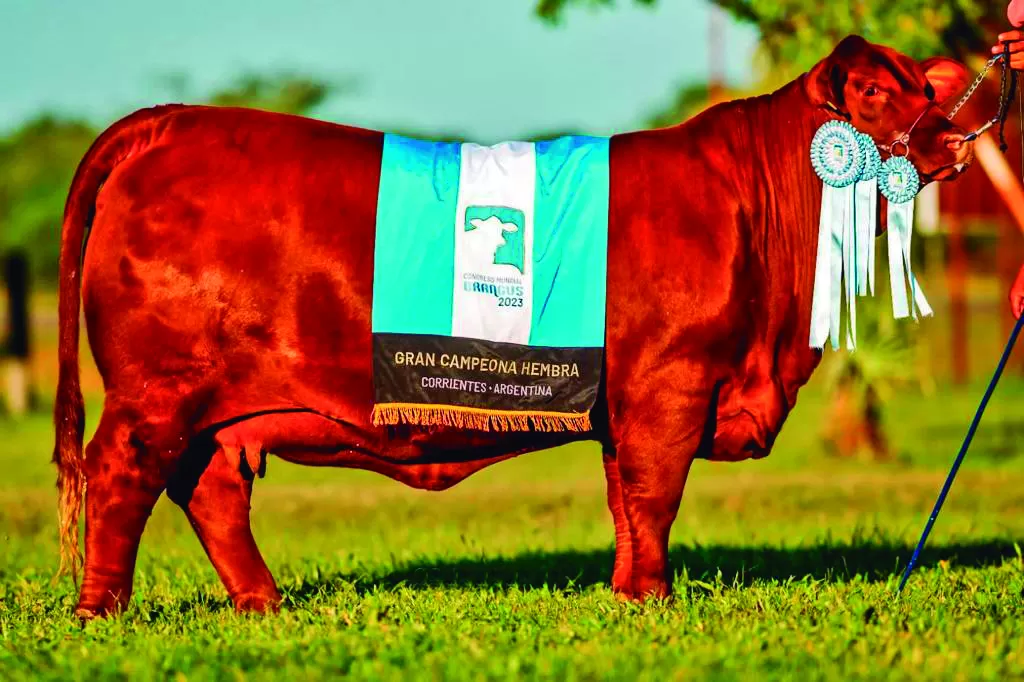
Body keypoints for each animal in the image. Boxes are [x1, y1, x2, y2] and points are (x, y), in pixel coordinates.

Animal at [51, 35, 970, 614]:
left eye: (926, 87)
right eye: (874, 92)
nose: (955, 140)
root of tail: (172, 119)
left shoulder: (622, 401)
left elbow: (626, 497)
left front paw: (627, 595)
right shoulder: (669, 382)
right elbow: (656, 493)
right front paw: (655, 597)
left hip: (210, 407)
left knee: (209, 488)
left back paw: (262, 604)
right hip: (155, 391)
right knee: (124, 472)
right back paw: (103, 611)